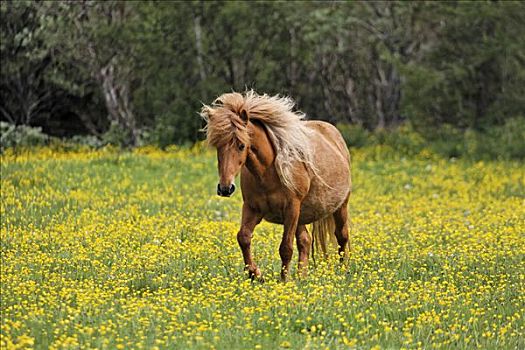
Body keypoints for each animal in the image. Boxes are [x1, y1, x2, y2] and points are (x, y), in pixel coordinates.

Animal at [201, 91, 352, 282]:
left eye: (241, 145)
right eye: (218, 147)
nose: (225, 188)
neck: (267, 173)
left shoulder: (291, 209)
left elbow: (285, 247)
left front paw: (283, 280)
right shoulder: (252, 208)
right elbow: (243, 237)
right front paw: (255, 274)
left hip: (339, 206)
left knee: (341, 236)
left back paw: (342, 271)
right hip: (302, 214)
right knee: (305, 240)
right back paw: (302, 277)